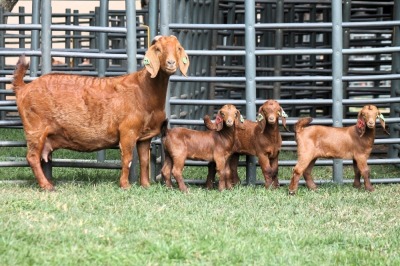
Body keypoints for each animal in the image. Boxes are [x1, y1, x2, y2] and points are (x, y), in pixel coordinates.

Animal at [12, 35, 191, 191]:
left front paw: (146, 185)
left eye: (178, 48)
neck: (144, 89)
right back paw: (47, 186)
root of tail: (23, 88)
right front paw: (125, 185)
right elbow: (127, 159)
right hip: (35, 129)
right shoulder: (128, 131)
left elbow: (144, 160)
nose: (170, 63)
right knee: (32, 157)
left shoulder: (144, 136)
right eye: (158, 49)